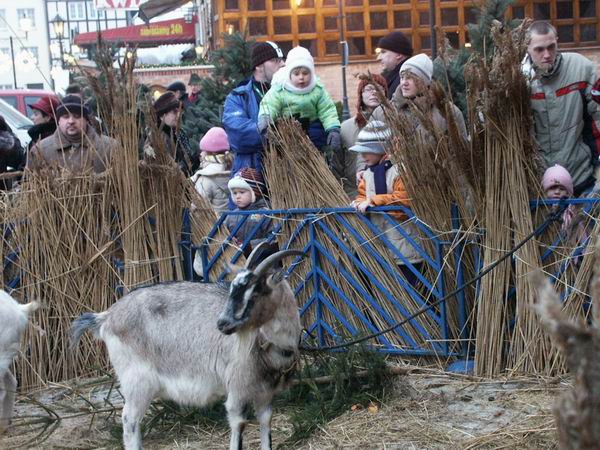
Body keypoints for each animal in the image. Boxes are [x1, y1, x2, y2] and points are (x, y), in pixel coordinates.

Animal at [71, 248, 304, 448]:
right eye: (233, 290)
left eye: (254, 294)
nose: (222, 324)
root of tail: (106, 317)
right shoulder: (237, 391)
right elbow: (238, 426)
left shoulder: (266, 394)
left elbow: (266, 426)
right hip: (137, 381)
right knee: (130, 420)